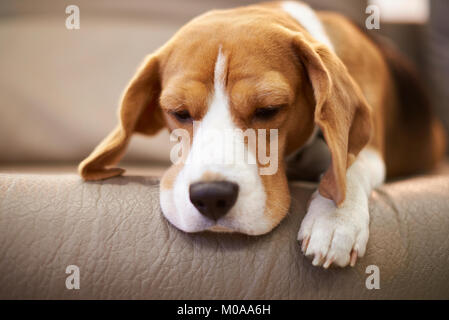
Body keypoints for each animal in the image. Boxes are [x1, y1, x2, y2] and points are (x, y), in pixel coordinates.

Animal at [79, 1, 444, 268]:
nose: (211, 197)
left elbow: (348, 166)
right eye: (178, 112)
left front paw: (336, 220)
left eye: (269, 109)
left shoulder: (369, 151)